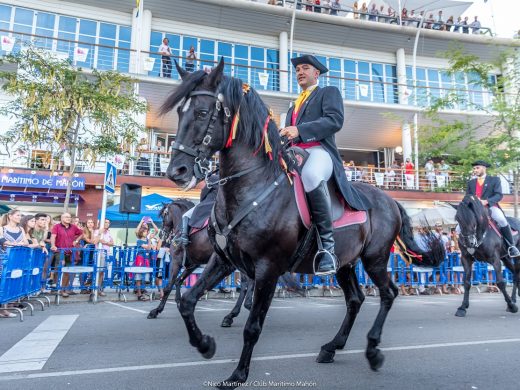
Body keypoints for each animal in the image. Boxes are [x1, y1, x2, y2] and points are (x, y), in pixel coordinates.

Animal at [147, 200, 253, 328]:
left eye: (164, 215)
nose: (161, 234)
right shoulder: (193, 265)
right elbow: (178, 281)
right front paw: (179, 302)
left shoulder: (176, 261)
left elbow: (168, 286)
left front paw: (156, 311)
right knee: (247, 284)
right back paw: (236, 313)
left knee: (245, 285)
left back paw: (235, 313)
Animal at [161, 59, 442, 388]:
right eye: (180, 112)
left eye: (203, 113)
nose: (177, 171)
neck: (251, 186)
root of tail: (389, 199)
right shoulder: (223, 260)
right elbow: (187, 302)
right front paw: (205, 344)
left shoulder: (268, 268)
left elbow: (253, 326)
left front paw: (238, 374)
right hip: (345, 264)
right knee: (355, 300)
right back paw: (332, 347)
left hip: (375, 259)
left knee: (388, 294)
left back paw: (373, 351)